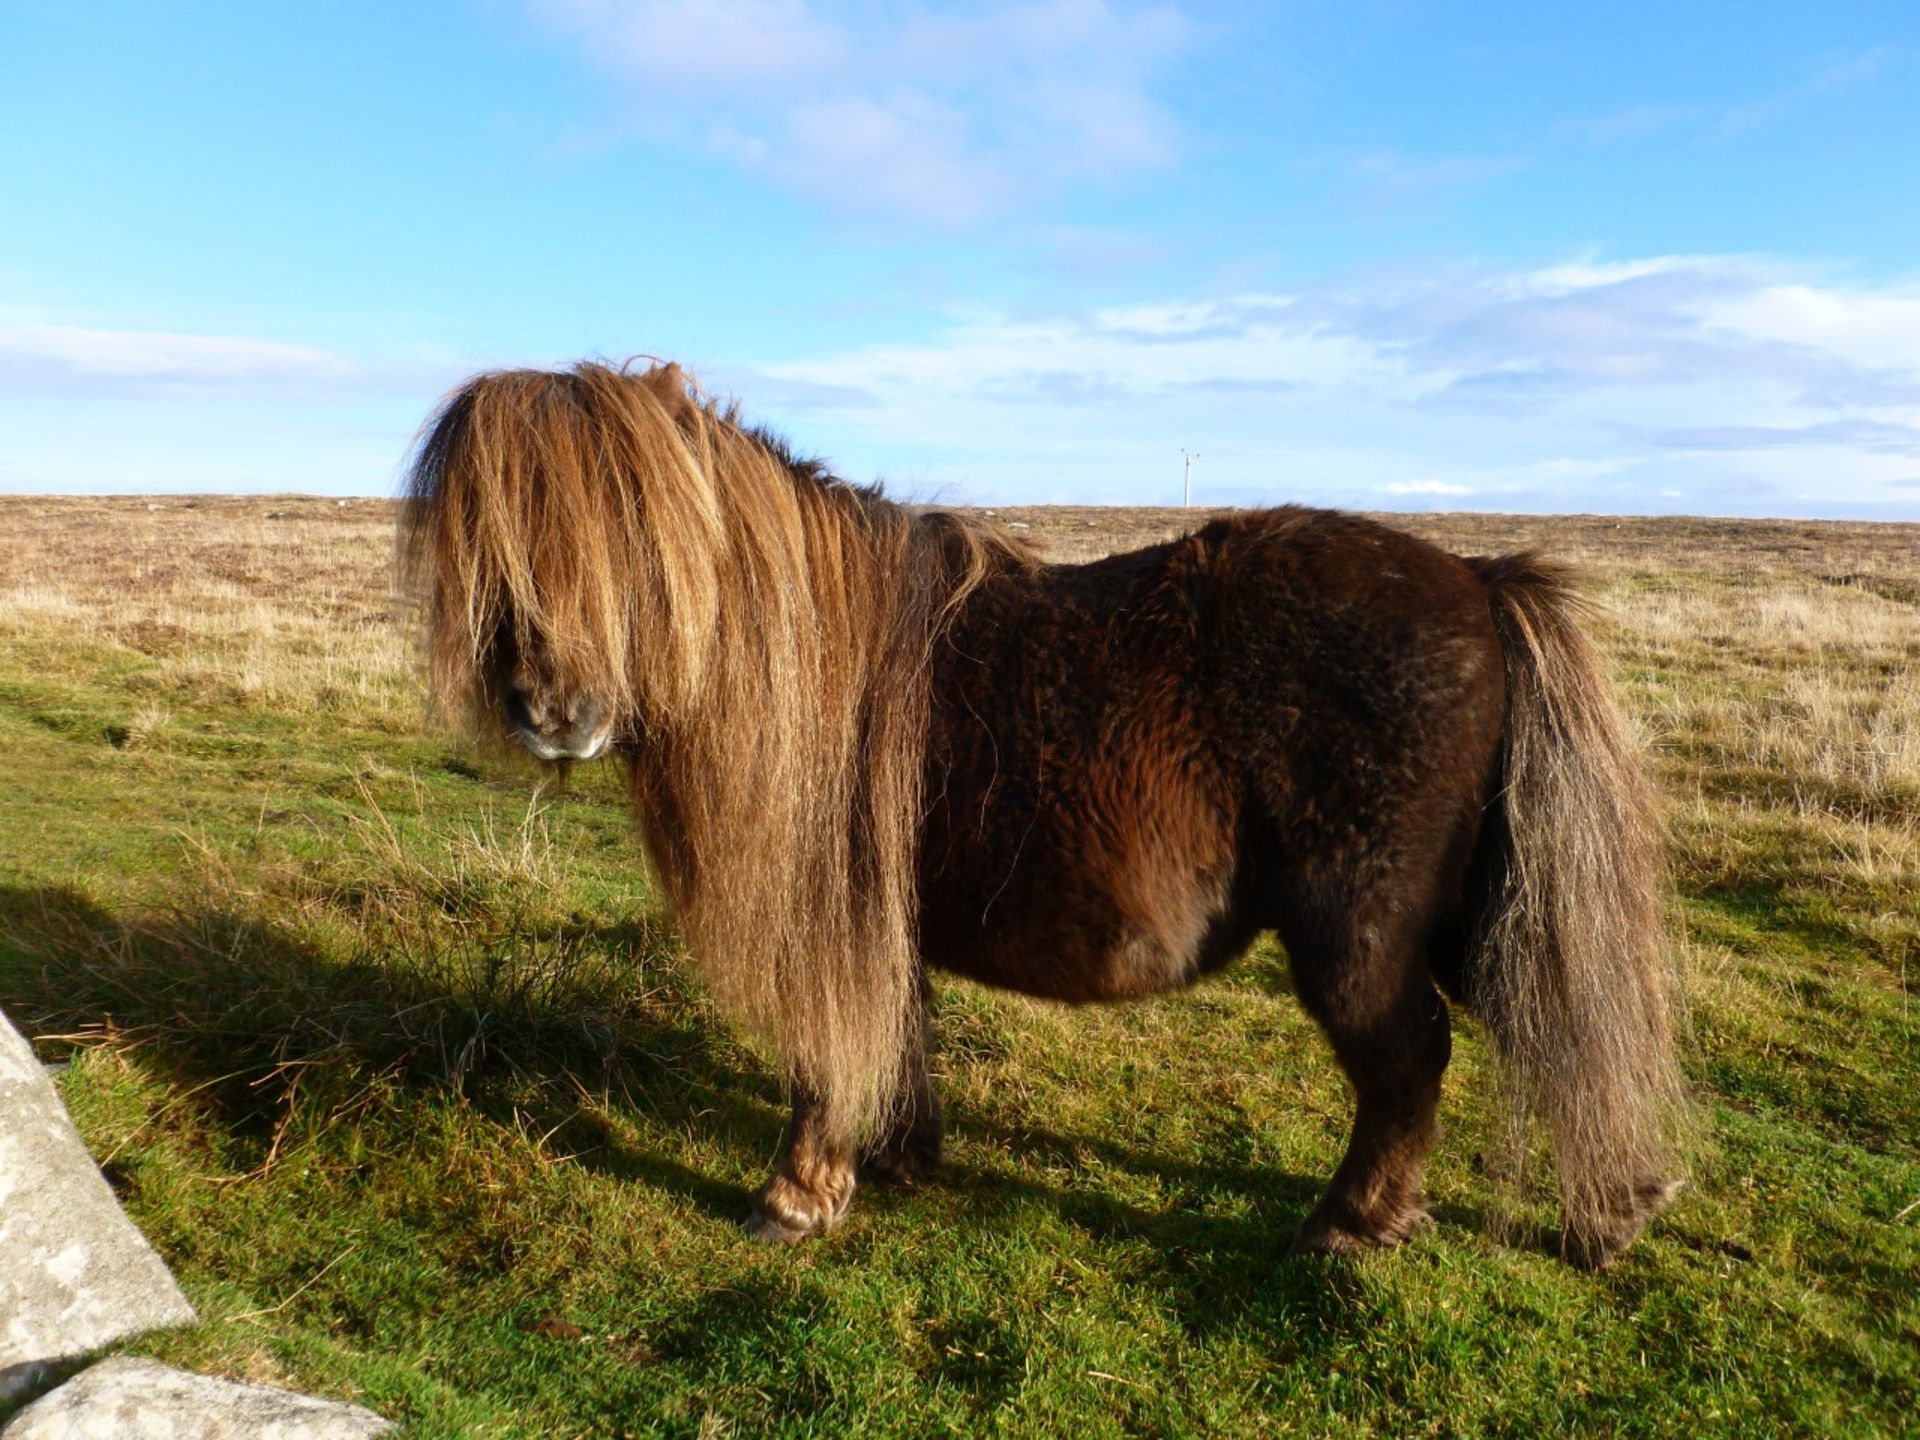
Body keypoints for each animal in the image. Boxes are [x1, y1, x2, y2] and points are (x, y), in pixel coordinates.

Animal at [405, 362, 1681, 1274]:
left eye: (642, 528)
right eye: (501, 539)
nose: (552, 712)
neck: (797, 649)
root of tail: (1479, 581)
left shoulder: (827, 916)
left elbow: (827, 1053)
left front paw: (798, 1197)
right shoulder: (885, 918)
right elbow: (897, 1033)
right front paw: (898, 1158)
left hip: (1360, 933)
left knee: (1413, 1060)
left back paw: (1352, 1225)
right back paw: (1615, 1208)